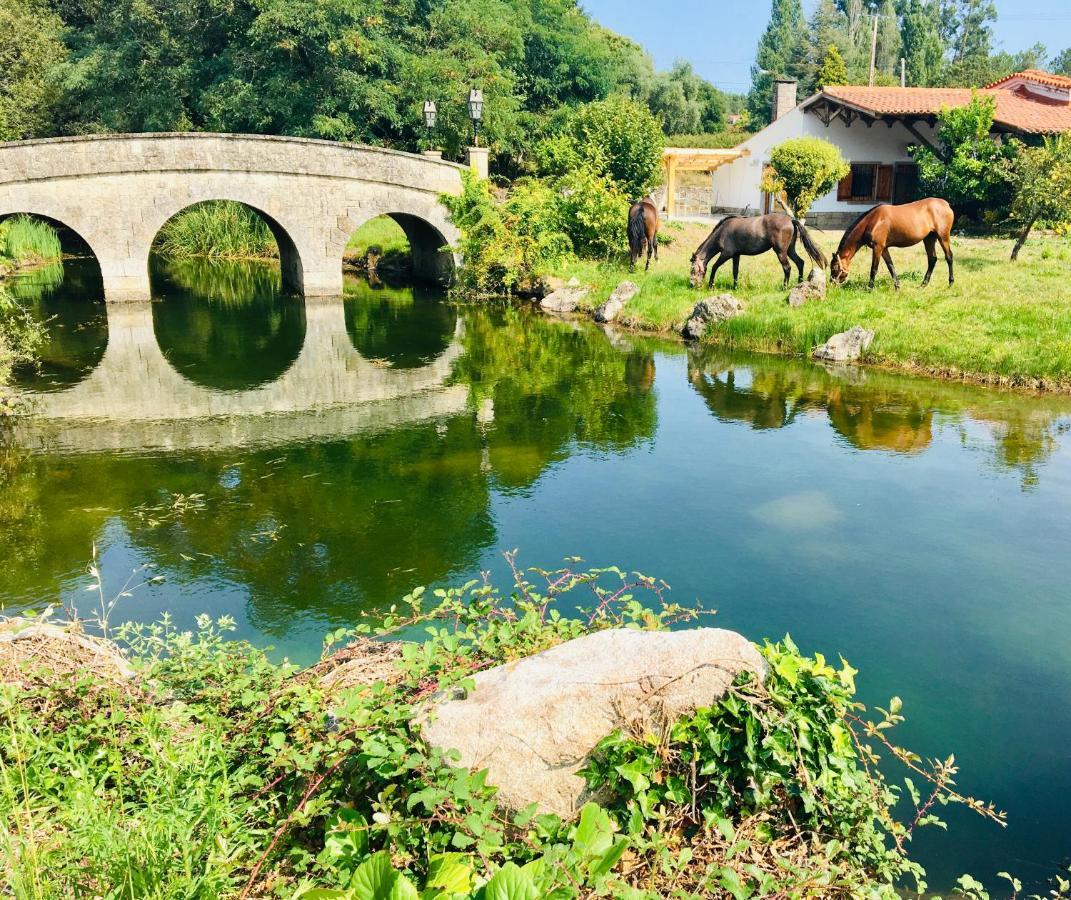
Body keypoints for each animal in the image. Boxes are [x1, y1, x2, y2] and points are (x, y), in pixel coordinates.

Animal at [689, 212, 831, 289]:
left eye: (693, 270)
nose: (691, 284)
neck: (722, 231)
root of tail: (791, 220)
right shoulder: (736, 255)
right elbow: (735, 272)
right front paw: (735, 287)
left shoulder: (726, 254)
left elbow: (714, 267)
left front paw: (711, 285)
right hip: (790, 250)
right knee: (800, 263)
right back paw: (799, 284)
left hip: (781, 252)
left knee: (787, 268)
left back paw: (785, 287)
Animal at [826, 198, 955, 289]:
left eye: (834, 268)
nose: (832, 283)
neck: (873, 220)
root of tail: (946, 204)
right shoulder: (884, 248)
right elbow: (891, 266)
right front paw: (897, 286)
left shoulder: (877, 248)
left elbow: (874, 268)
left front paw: (869, 288)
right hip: (929, 239)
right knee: (932, 259)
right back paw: (923, 284)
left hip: (943, 237)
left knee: (949, 257)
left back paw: (950, 283)